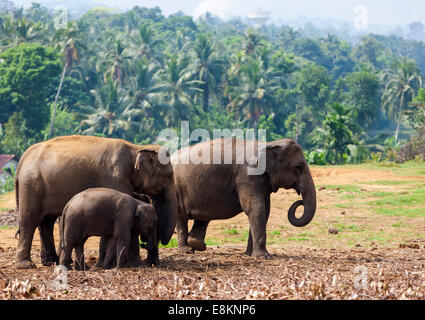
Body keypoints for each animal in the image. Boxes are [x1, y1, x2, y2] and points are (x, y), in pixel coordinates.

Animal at [14, 134, 176, 268]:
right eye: (169, 175)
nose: (145, 243)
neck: (135, 148)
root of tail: (22, 160)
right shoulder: (113, 177)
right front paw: (132, 264)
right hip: (31, 186)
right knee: (29, 221)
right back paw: (26, 265)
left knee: (46, 222)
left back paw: (51, 262)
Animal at [171, 138, 314, 258]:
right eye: (298, 167)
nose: (300, 201)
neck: (267, 144)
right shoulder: (247, 176)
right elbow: (255, 209)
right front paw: (263, 257)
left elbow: (264, 210)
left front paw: (248, 254)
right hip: (176, 188)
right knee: (181, 216)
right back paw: (186, 250)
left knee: (202, 217)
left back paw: (197, 245)